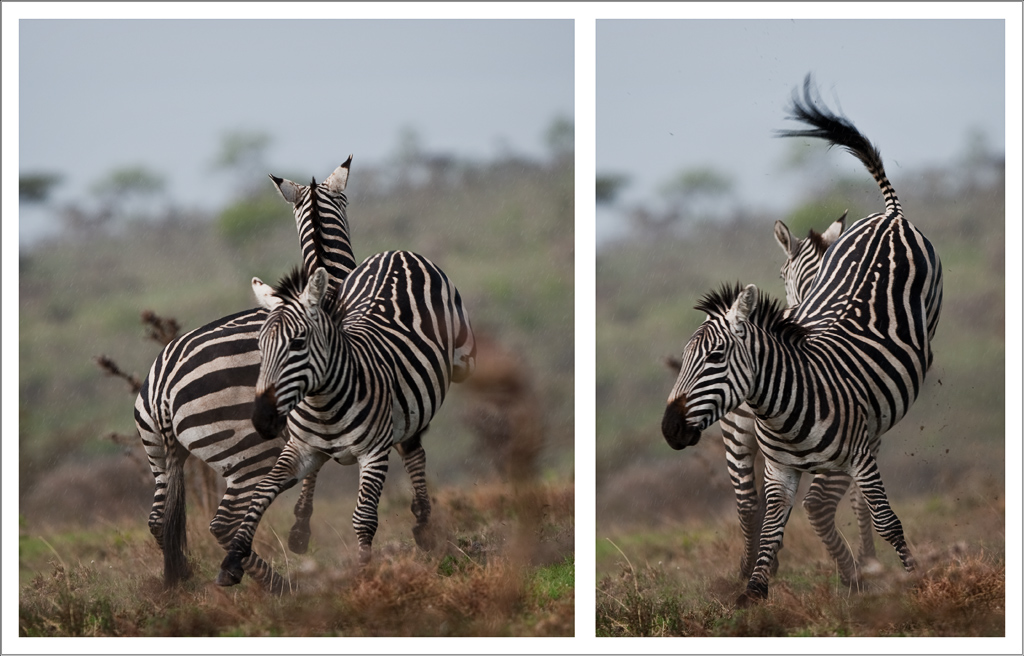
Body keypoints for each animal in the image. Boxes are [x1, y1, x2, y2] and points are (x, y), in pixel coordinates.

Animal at [134, 160, 360, 591]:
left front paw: (300, 528)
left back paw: (184, 584)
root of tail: (163, 387)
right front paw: (301, 530)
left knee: (157, 521)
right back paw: (280, 587)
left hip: (157, 455)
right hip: (247, 454)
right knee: (222, 523)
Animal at [215, 250, 476, 587]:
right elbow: (262, 492)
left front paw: (365, 575)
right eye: (260, 346)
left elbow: (364, 515)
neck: (322, 404)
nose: (262, 420)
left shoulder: (373, 453)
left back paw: (423, 522)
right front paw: (233, 559)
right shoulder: (299, 449)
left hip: (462, 362)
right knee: (408, 447)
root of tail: (396, 253)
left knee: (414, 444)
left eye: (297, 343)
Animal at [661, 75, 942, 605]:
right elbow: (776, 525)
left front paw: (916, 583)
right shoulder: (781, 471)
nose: (669, 429)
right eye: (684, 359)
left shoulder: (857, 455)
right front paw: (754, 591)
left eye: (716, 355)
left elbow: (886, 519)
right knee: (756, 506)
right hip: (744, 442)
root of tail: (890, 216)